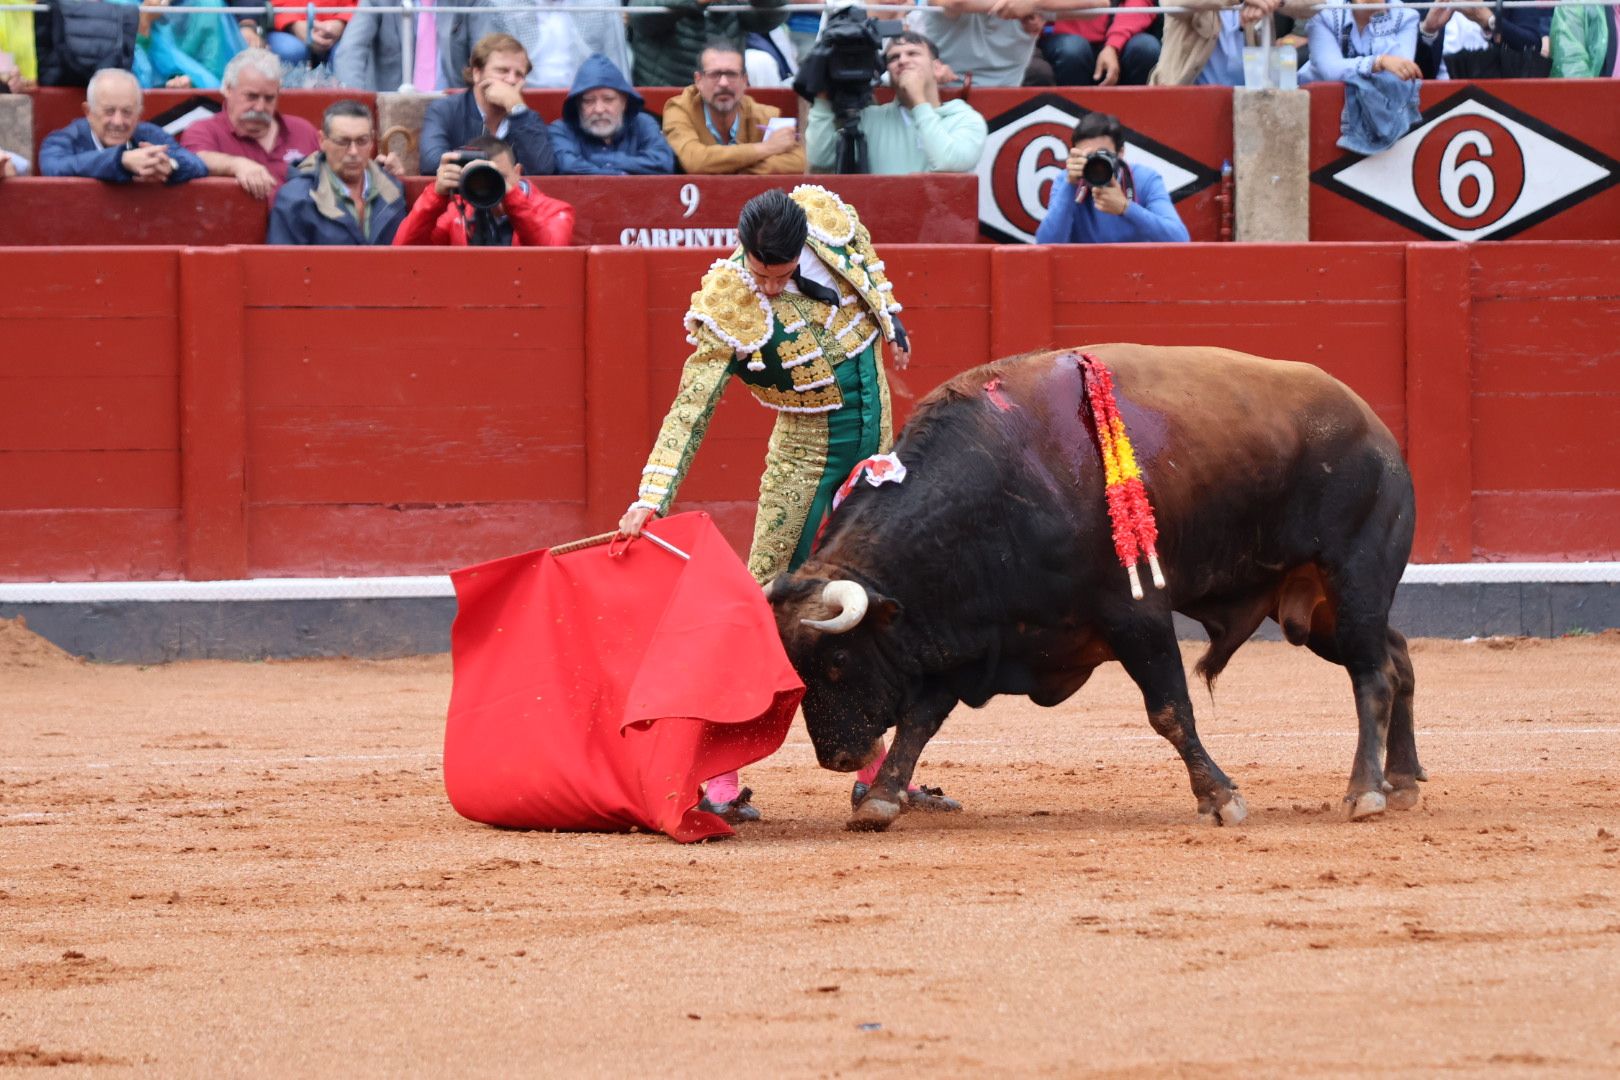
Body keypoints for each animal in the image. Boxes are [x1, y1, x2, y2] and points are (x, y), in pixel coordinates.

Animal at [771, 346, 1419, 829]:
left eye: (837, 662)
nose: (836, 758)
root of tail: (1374, 427)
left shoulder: (1137, 615)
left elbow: (1170, 710)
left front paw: (1220, 798)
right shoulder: (973, 636)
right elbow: (919, 721)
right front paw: (881, 799)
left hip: (1355, 578)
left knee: (1372, 675)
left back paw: (1365, 792)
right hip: (1315, 611)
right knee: (1397, 658)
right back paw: (1404, 780)